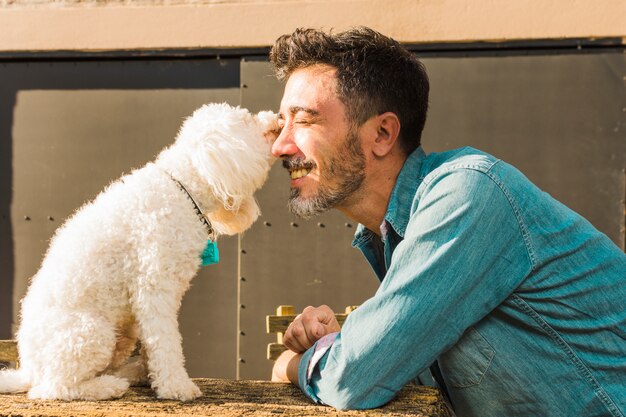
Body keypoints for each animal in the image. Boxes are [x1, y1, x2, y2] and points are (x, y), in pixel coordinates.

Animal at [0, 102, 278, 402]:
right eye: (248, 120)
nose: (275, 119)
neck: (182, 188)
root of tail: (28, 368)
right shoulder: (154, 285)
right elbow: (166, 340)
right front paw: (176, 386)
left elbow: (153, 342)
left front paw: (151, 374)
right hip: (90, 333)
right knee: (54, 387)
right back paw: (107, 386)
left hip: (123, 333)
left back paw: (126, 374)